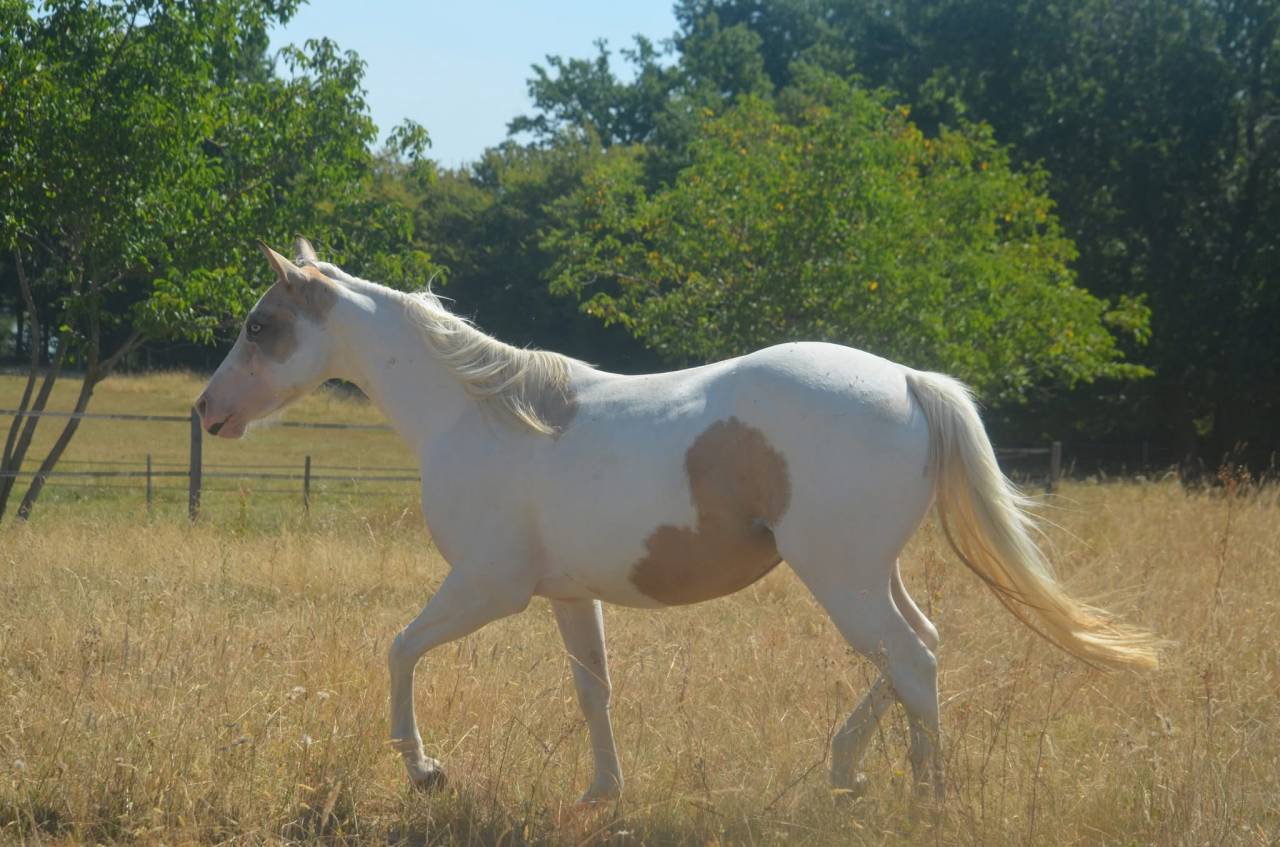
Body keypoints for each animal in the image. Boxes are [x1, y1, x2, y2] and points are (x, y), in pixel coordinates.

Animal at [196, 239, 1158, 804]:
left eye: (262, 324)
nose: (208, 410)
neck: (480, 415)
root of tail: (910, 380)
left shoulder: (486, 586)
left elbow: (399, 650)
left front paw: (425, 769)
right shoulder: (565, 594)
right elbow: (593, 689)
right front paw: (602, 794)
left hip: (839, 574)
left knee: (911, 660)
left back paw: (924, 796)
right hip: (866, 570)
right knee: (917, 647)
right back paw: (854, 770)